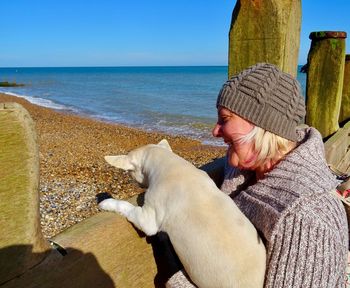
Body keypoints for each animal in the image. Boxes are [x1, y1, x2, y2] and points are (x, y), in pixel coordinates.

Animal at [100, 140, 266, 288]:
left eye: (130, 172)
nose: (135, 184)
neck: (170, 164)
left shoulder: (148, 218)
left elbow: (127, 207)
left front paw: (107, 202)